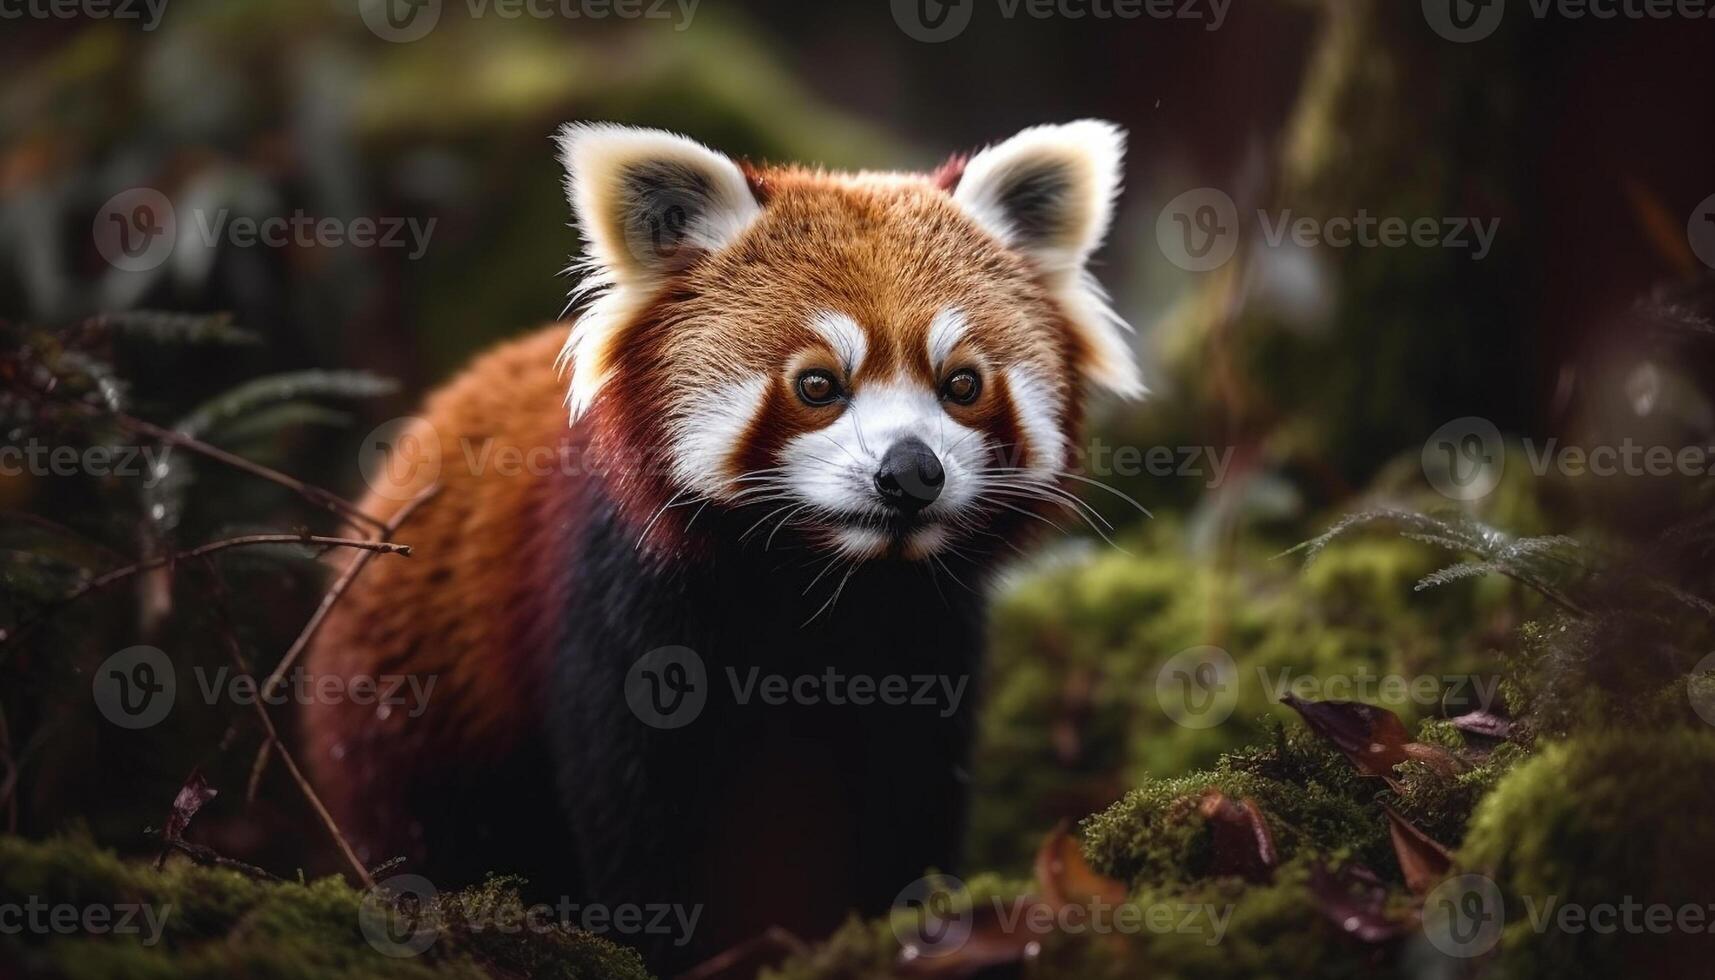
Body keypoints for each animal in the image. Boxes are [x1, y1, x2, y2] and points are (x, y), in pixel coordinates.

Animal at [305, 119, 1138, 967]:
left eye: (961, 384)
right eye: (816, 385)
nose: (910, 472)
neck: (823, 582)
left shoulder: (924, 635)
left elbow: (911, 794)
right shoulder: (624, 610)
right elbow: (639, 819)